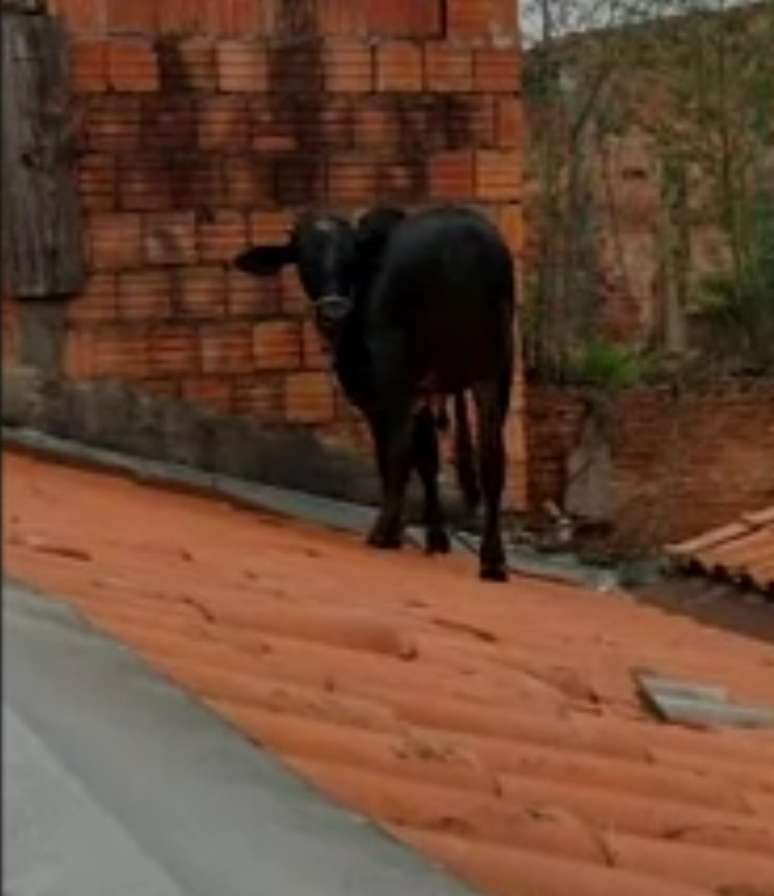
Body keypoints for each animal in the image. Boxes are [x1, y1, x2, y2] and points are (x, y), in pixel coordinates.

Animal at [235, 205, 516, 580]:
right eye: (304, 258)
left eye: (349, 256)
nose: (334, 311)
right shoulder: (422, 393)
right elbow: (428, 459)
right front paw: (436, 537)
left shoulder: (382, 390)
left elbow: (394, 455)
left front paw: (398, 529)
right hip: (495, 371)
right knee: (492, 458)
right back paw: (493, 558)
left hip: (396, 372)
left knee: (398, 450)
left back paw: (382, 533)